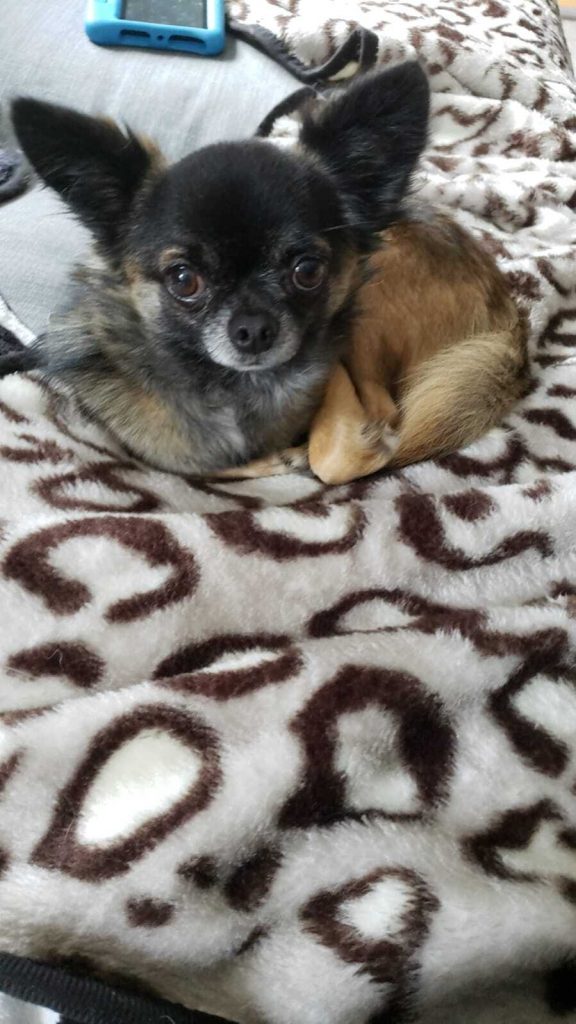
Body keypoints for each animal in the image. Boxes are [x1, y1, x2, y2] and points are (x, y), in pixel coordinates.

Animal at [4, 61, 524, 481]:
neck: (233, 390)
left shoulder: (334, 370)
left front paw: (318, 449)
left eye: (307, 270)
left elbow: (333, 454)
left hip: (373, 296)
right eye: (183, 279)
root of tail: (511, 315)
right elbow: (208, 467)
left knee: (385, 413)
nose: (253, 329)